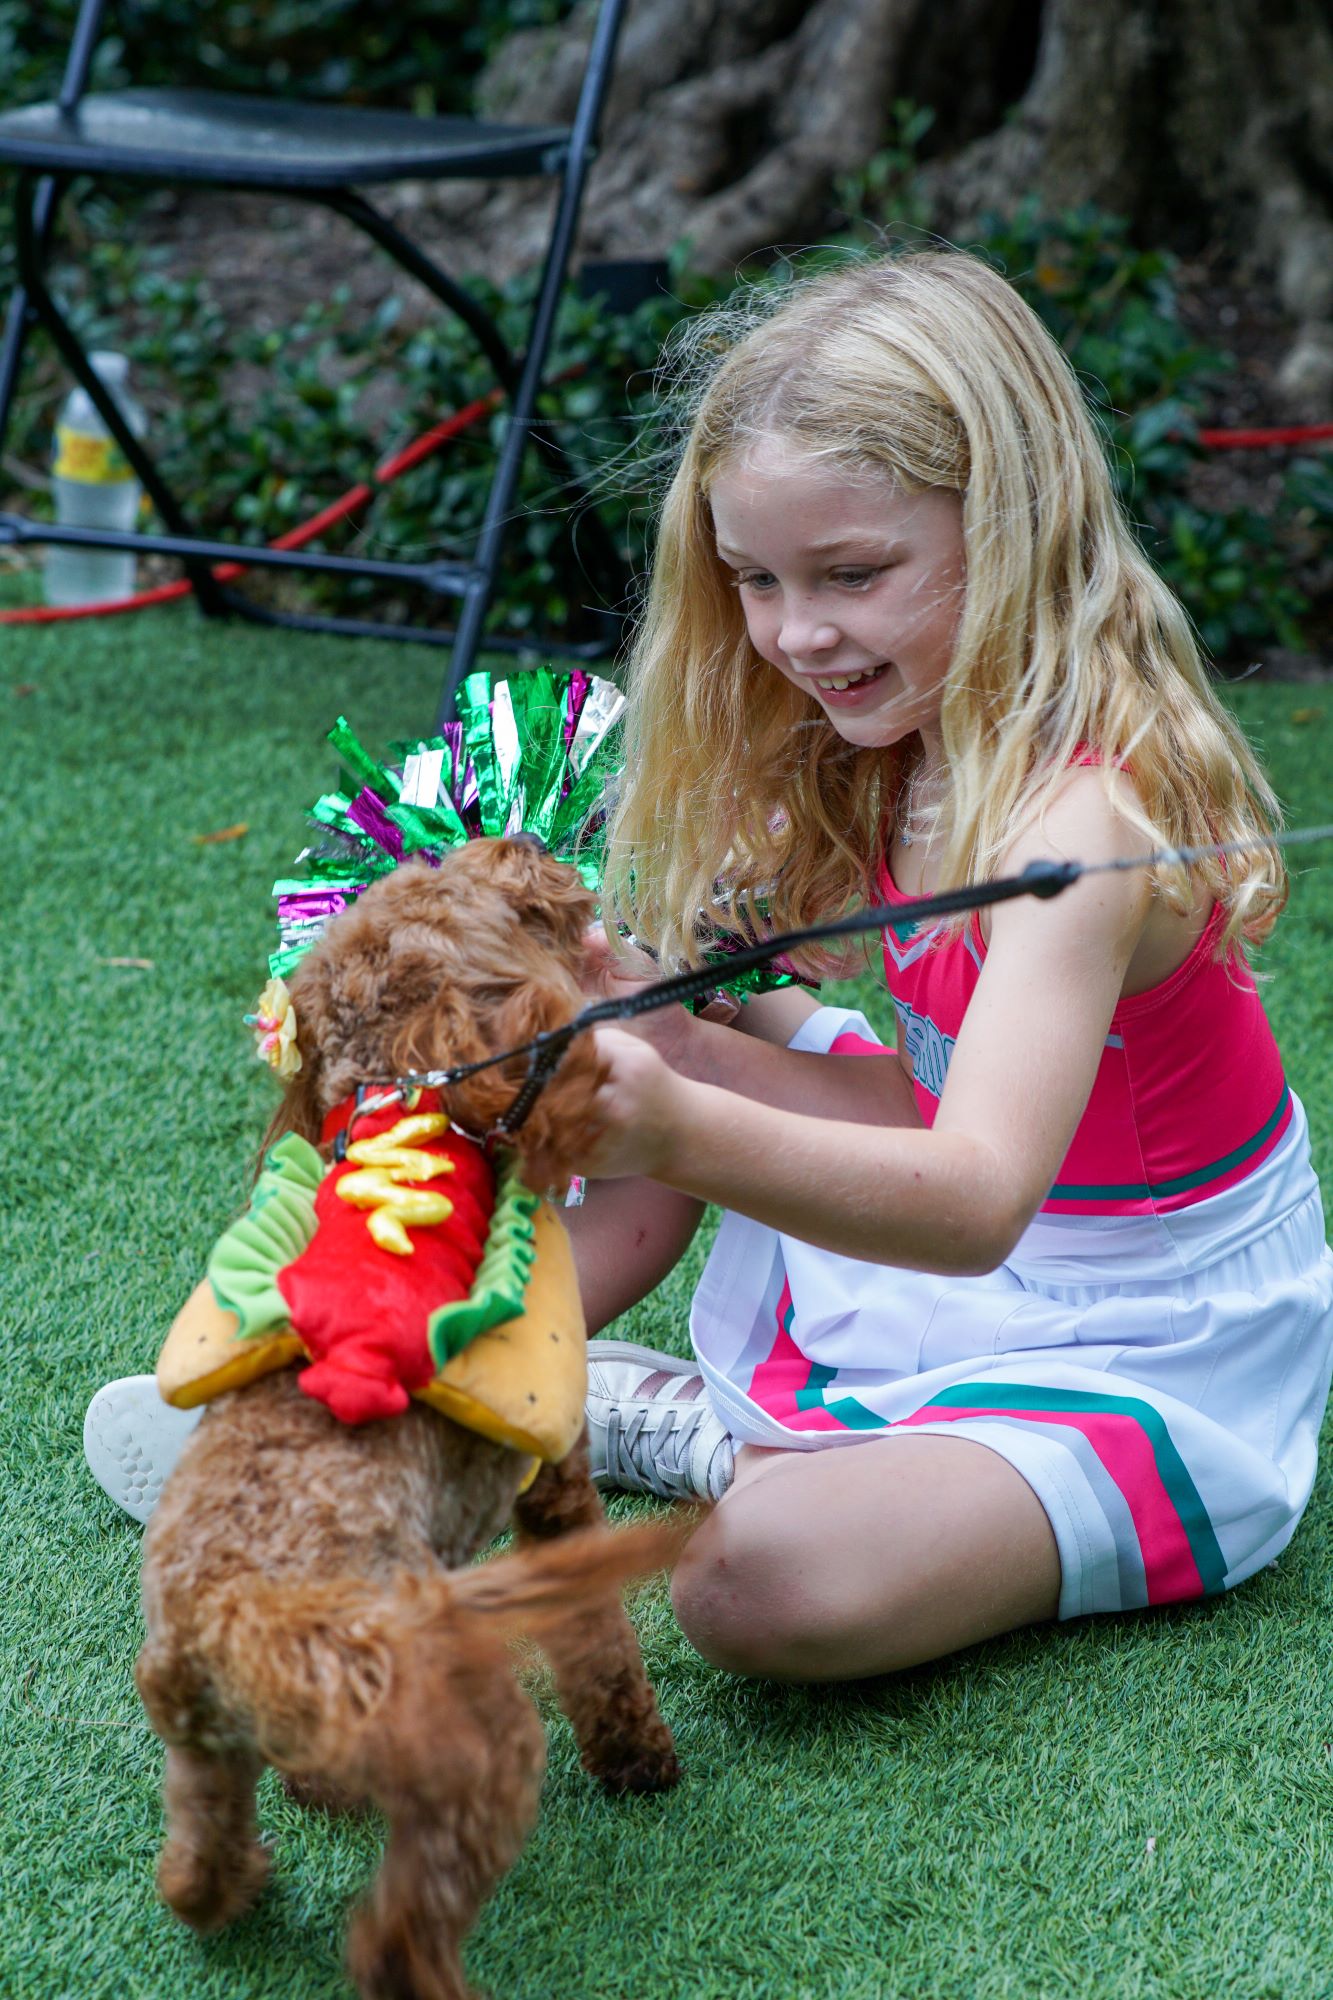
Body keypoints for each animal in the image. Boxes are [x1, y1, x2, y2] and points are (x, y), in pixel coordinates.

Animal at [136, 840, 684, 2000]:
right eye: (507, 911)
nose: (529, 853)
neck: (408, 1111)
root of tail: (233, 1622)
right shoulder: (557, 1483)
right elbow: (599, 1641)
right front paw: (637, 1756)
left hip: (200, 1747)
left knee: (194, 1860)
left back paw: (247, 1878)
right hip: (469, 1740)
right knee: (399, 1927)